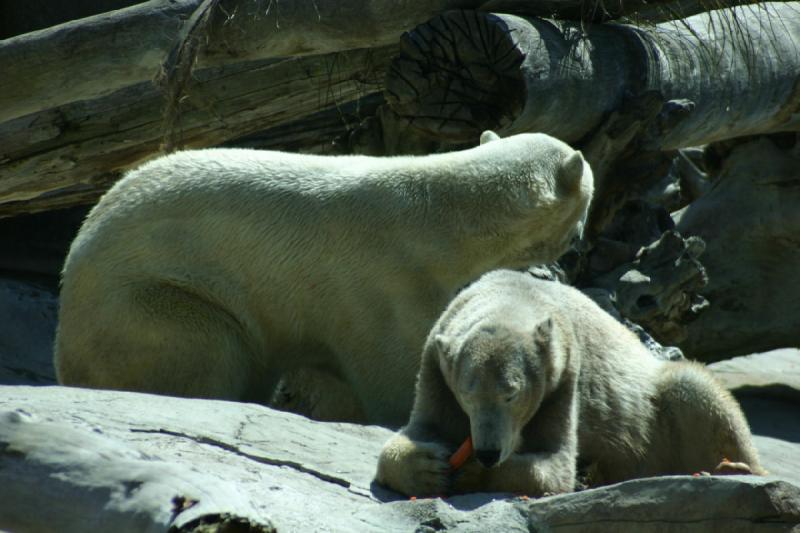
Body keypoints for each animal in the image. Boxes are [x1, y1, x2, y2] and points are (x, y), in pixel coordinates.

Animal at [53, 130, 592, 424]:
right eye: (587, 198)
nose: (581, 238)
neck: (441, 223)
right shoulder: (380, 282)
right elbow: (394, 375)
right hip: (145, 303)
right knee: (213, 344)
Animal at [378, 268, 764, 496]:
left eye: (511, 395)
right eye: (467, 394)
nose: (487, 452)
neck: (513, 293)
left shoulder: (562, 378)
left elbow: (556, 461)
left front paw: (473, 472)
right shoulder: (435, 363)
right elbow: (420, 428)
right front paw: (428, 467)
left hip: (654, 399)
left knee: (693, 391)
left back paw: (734, 468)